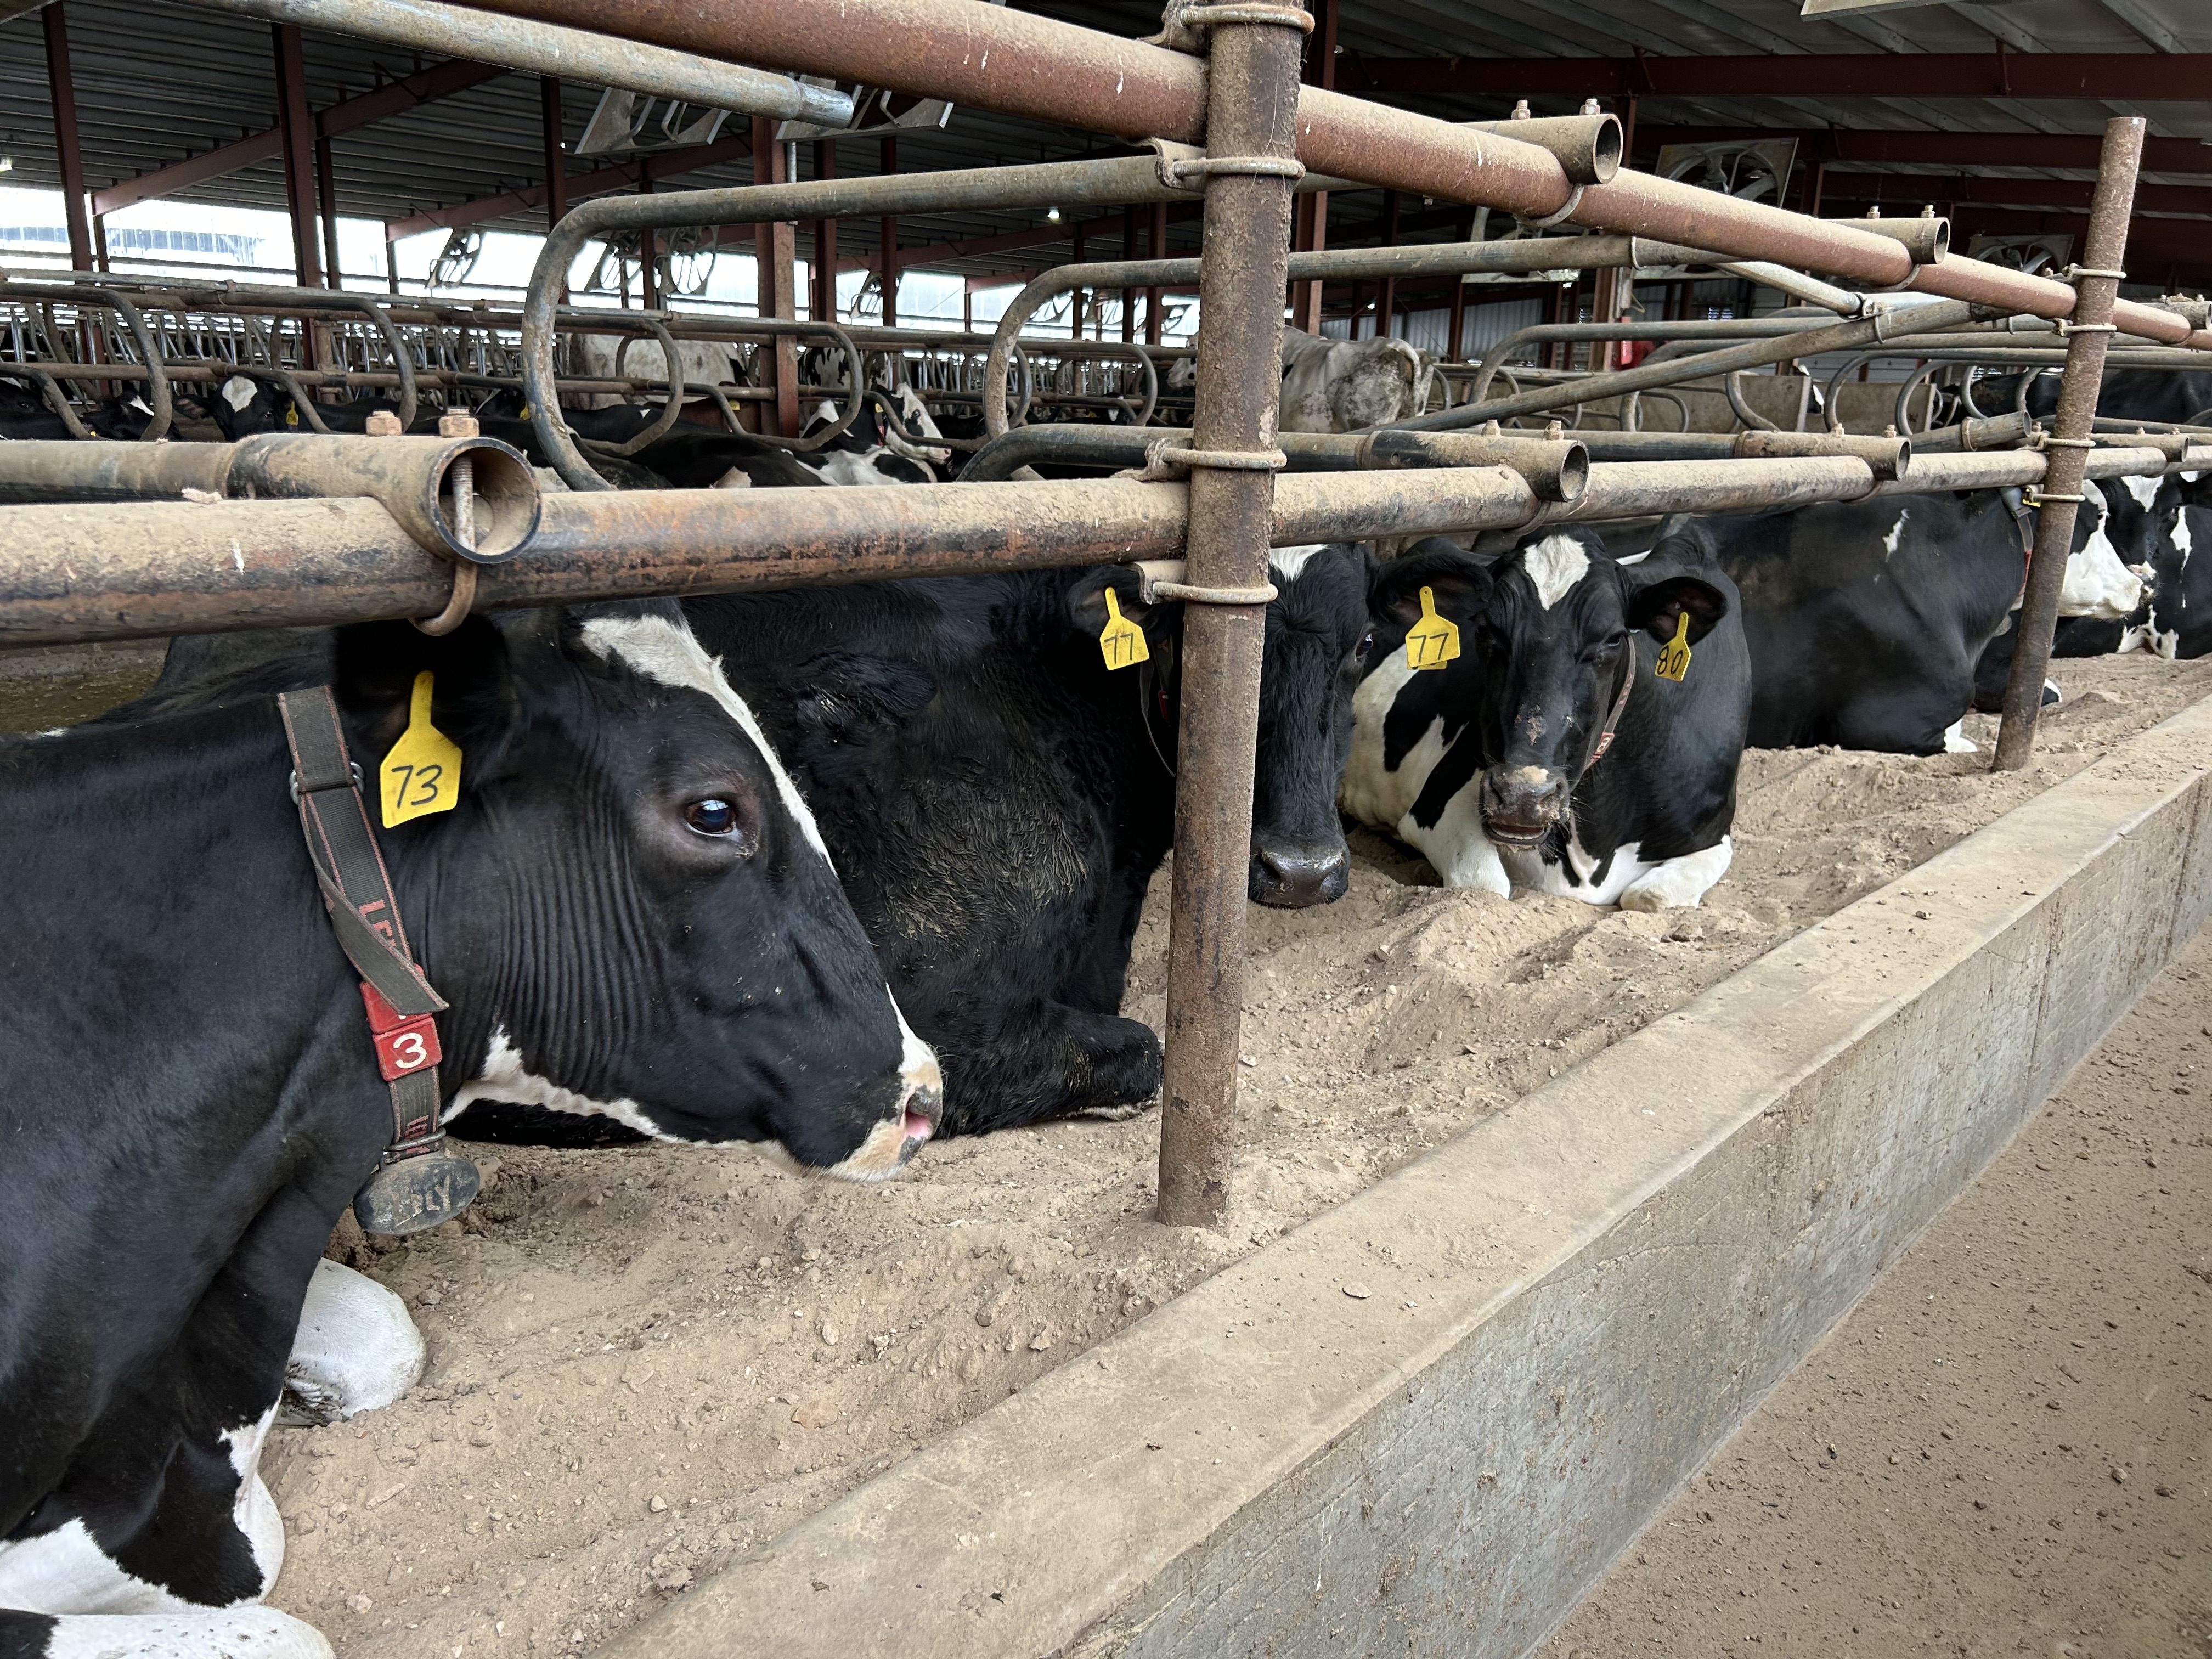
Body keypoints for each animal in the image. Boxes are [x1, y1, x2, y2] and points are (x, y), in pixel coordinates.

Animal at [1342, 530, 1747, 909]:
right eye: (1485, 630)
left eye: (1614, 639)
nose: (1523, 796)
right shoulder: (1436, 805)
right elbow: (1486, 885)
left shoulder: (1714, 836)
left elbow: (1649, 897)